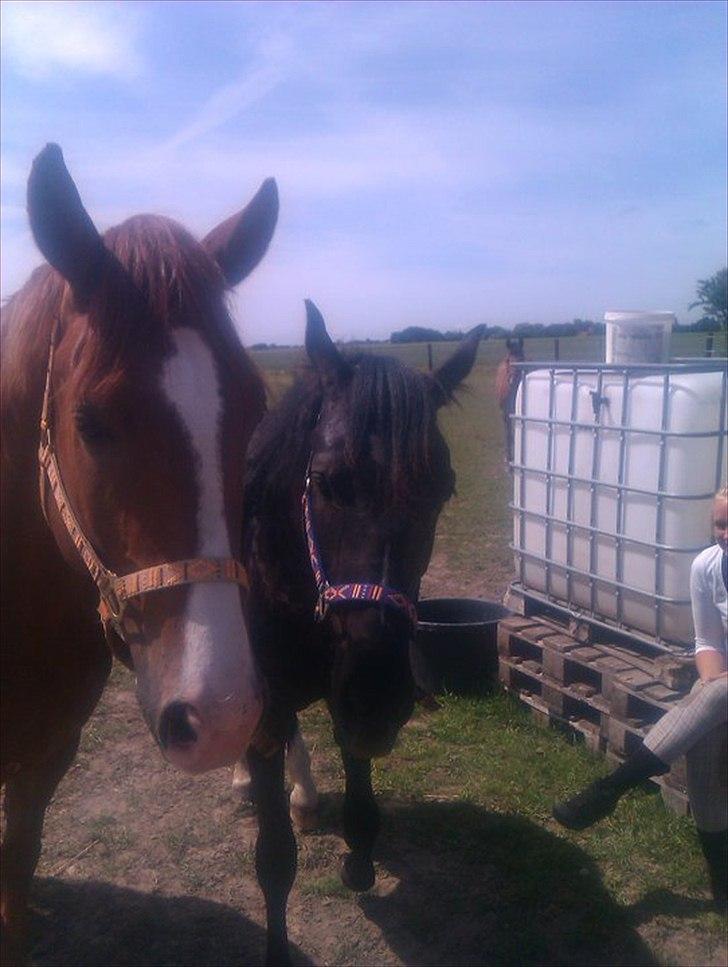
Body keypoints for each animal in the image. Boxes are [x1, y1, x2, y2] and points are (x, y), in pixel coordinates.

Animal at [239, 304, 480, 967]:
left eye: (444, 489)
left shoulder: (343, 699)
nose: (379, 694)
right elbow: (275, 860)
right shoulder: (269, 710)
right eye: (325, 481)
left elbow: (363, 801)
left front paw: (357, 862)